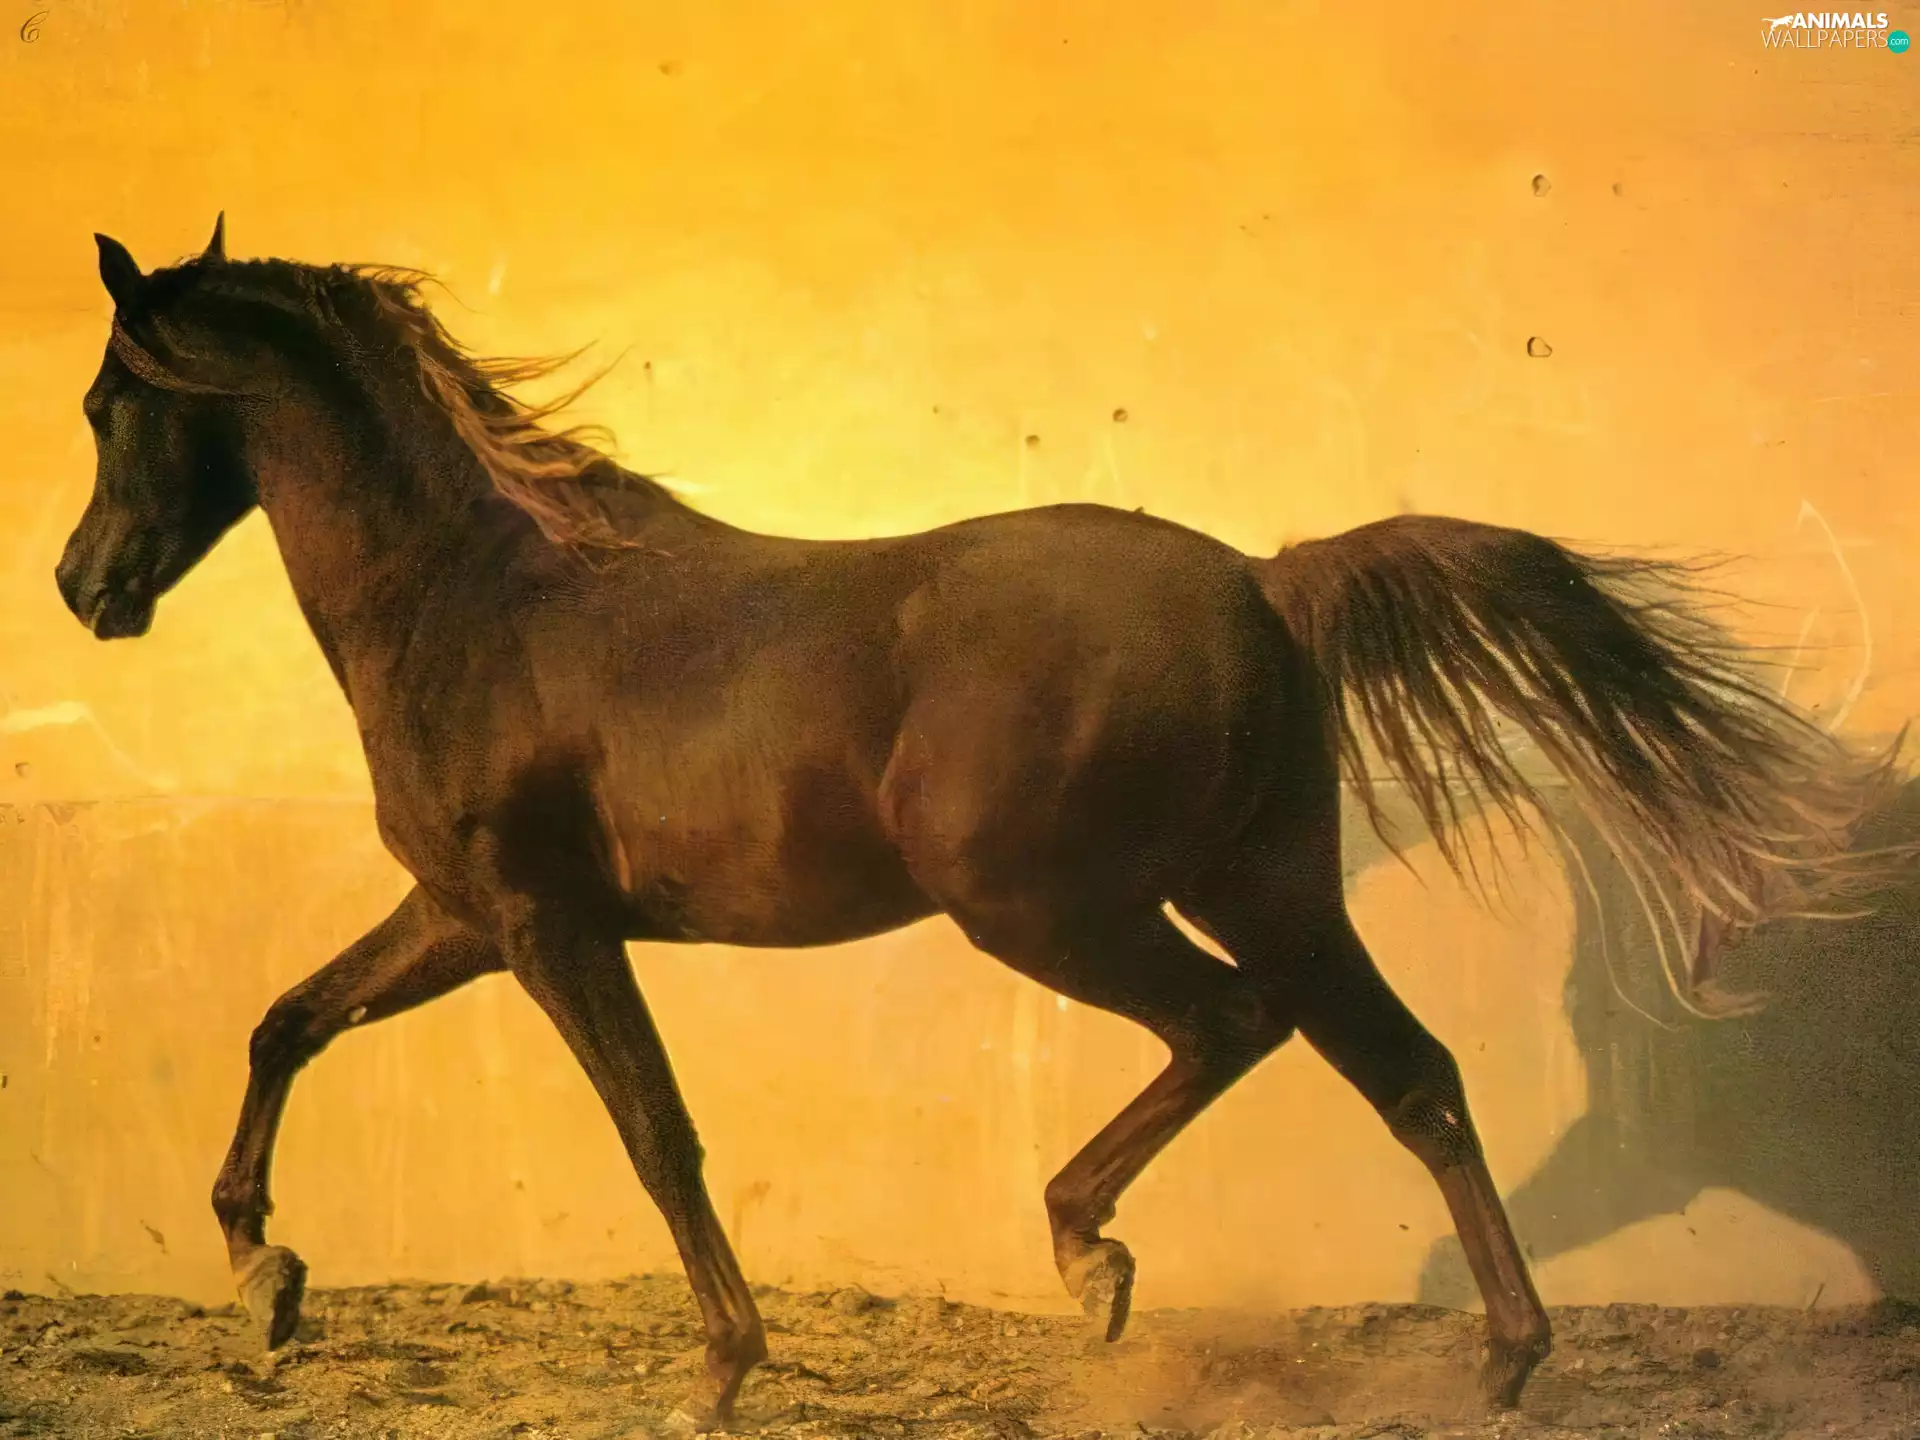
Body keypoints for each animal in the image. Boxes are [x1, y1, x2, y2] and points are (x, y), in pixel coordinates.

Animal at [53, 216, 1904, 1429]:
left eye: (105, 404)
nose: (83, 589)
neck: (488, 595)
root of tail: (1263, 582)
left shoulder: (542, 925)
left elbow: (657, 1133)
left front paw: (723, 1367)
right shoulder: (456, 915)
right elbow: (286, 1022)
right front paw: (264, 1282)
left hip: (1048, 906)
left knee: (1237, 1029)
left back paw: (1099, 1261)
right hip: (1266, 885)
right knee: (1410, 1076)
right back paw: (1496, 1354)